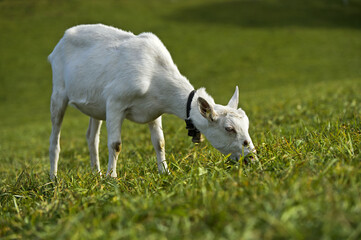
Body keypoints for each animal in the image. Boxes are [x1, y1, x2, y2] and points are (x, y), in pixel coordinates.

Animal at [48, 24, 256, 178]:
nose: (252, 158)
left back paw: (96, 173)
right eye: (229, 128)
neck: (155, 74)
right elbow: (116, 144)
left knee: (92, 137)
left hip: (96, 105)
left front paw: (165, 172)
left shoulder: (154, 111)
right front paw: (112, 178)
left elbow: (160, 142)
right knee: (55, 138)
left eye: (246, 124)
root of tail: (60, 42)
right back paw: (54, 178)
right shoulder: (115, 102)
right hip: (58, 91)